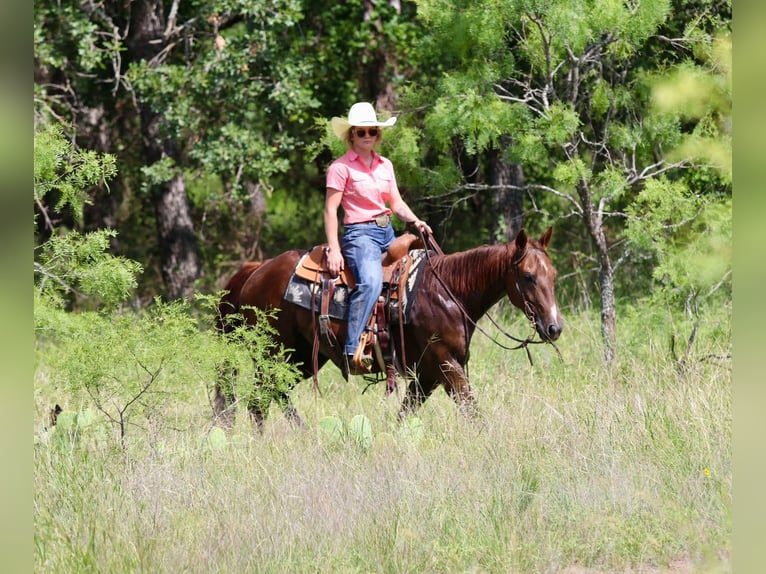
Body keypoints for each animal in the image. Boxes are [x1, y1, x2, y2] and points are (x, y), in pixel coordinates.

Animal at [214, 227, 563, 428]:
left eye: (553, 274)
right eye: (528, 276)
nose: (554, 327)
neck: (449, 291)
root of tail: (256, 270)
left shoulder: (427, 375)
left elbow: (404, 415)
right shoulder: (446, 365)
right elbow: (473, 413)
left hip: (300, 359)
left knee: (270, 397)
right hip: (275, 354)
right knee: (260, 402)